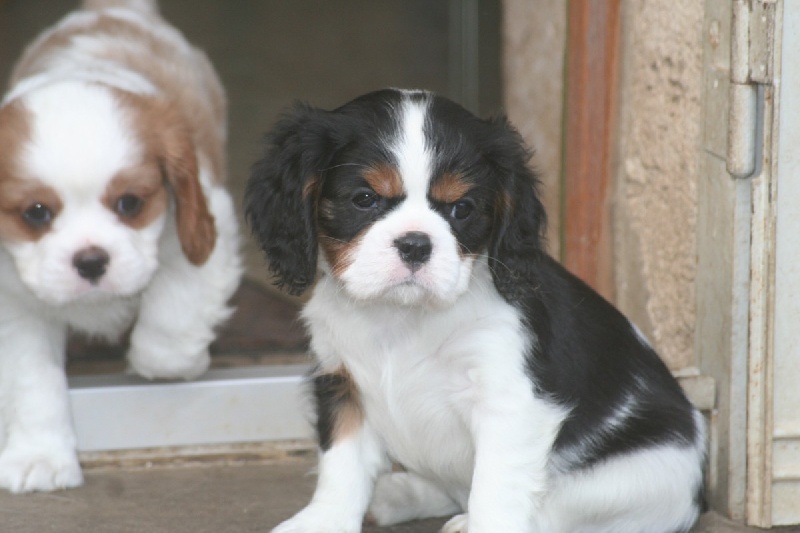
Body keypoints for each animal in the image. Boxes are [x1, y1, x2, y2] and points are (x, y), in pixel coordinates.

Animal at [0, 0, 241, 490]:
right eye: (36, 212)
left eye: (130, 203)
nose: (91, 262)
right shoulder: (15, 303)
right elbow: (31, 379)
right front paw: (40, 456)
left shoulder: (208, 229)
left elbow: (167, 334)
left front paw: (182, 363)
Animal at [245, 88, 708, 532]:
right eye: (364, 199)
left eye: (461, 209)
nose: (415, 244)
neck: (401, 316)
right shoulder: (342, 382)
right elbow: (341, 464)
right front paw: (322, 522)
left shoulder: (509, 402)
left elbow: (495, 487)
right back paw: (396, 495)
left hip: (635, 478)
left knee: (552, 511)